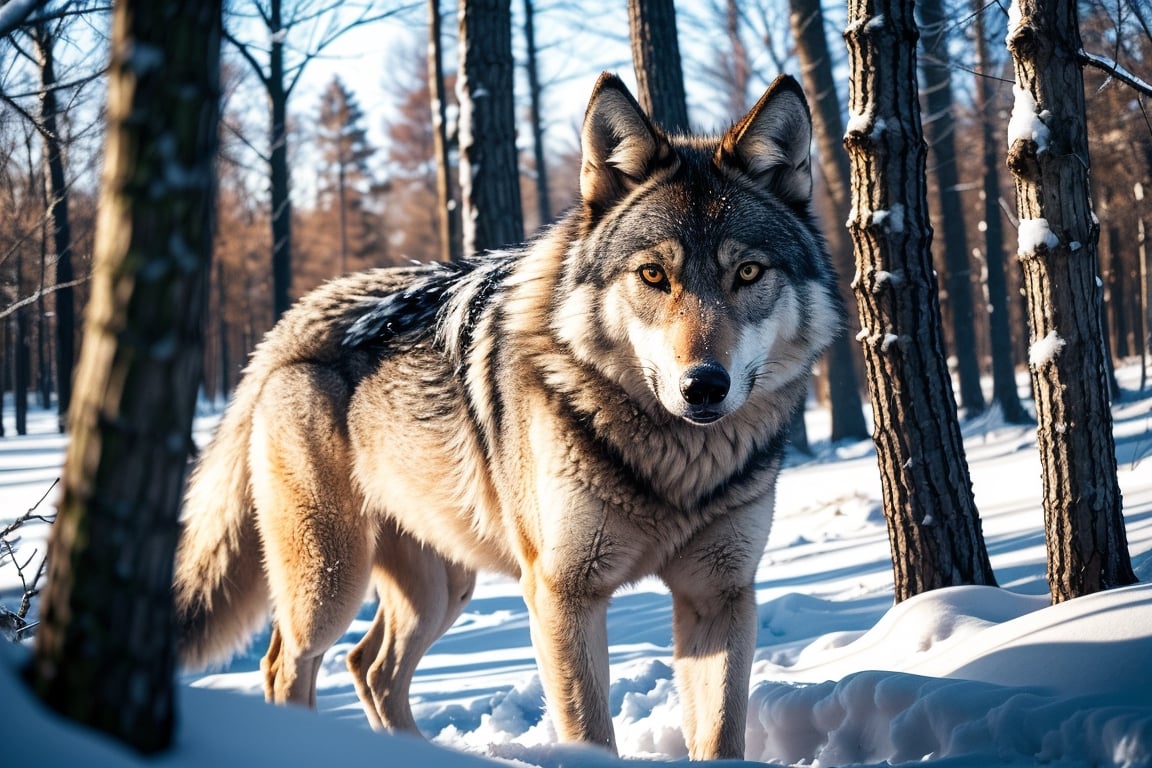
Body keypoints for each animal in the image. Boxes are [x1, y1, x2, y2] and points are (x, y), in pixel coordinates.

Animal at [175, 73, 843, 764]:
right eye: (654, 274)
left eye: (748, 272)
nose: (704, 386)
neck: (676, 465)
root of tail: (297, 317)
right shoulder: (562, 594)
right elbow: (590, 733)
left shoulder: (719, 596)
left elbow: (719, 737)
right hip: (332, 584)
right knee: (285, 665)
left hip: (440, 589)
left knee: (370, 665)